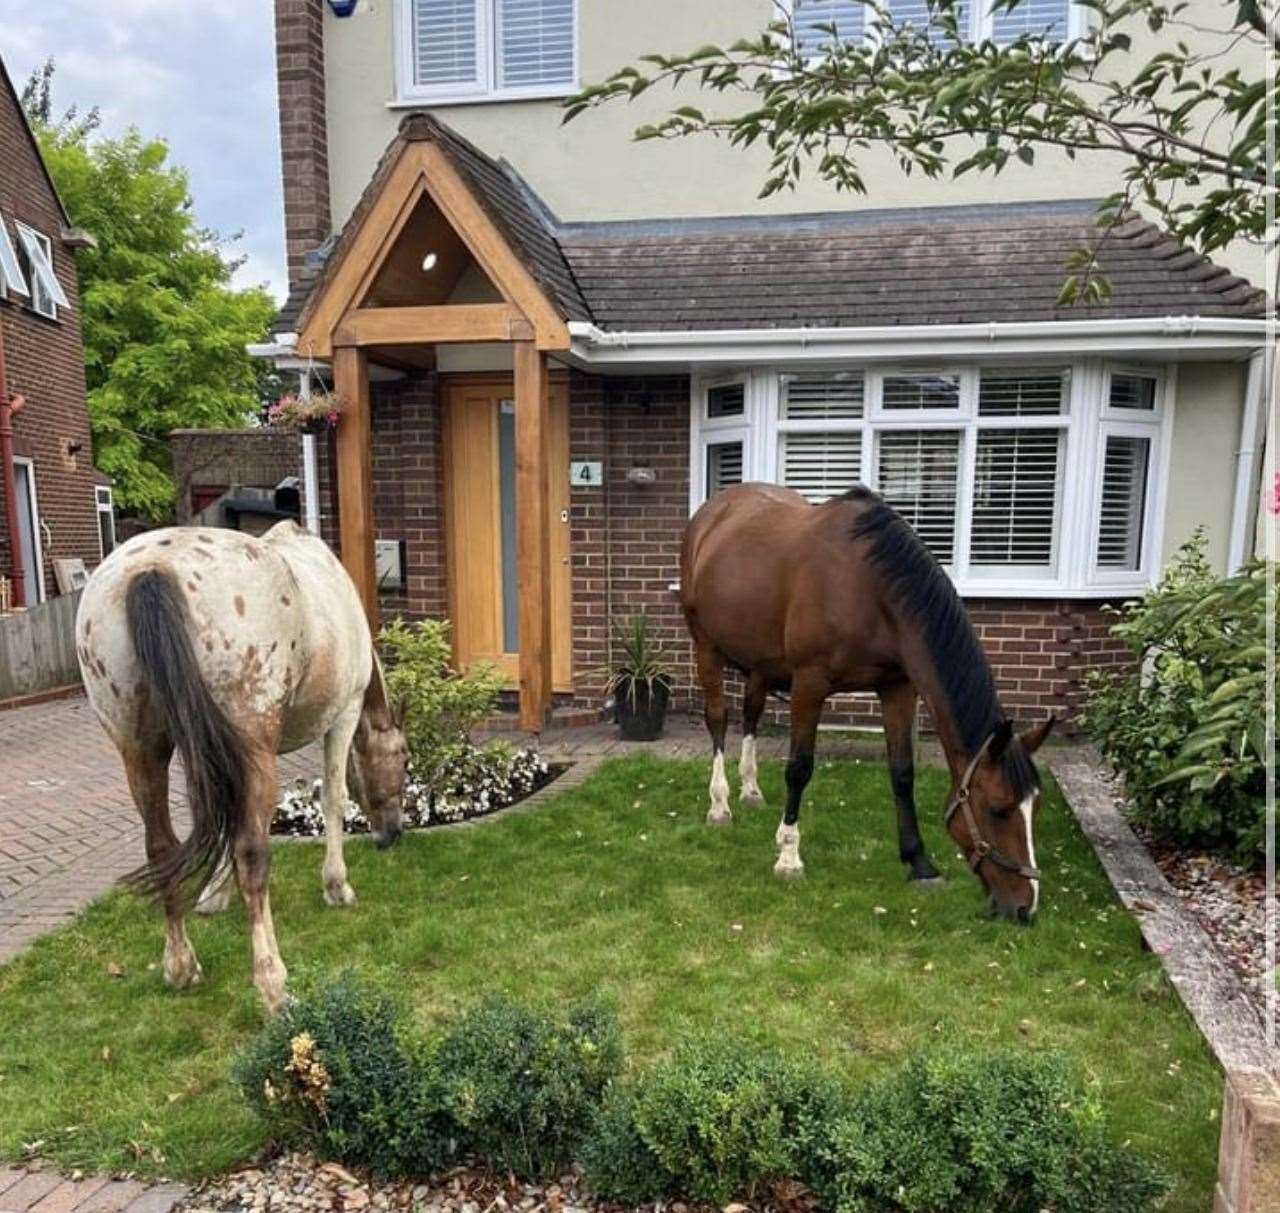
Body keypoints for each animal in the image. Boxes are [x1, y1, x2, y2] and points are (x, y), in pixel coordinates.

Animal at [77, 516, 407, 1008]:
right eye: (403, 760)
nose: (393, 833)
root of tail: (152, 570)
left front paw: (213, 896)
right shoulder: (342, 715)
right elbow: (332, 799)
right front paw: (336, 885)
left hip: (140, 751)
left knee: (161, 846)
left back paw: (181, 966)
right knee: (252, 853)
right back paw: (273, 984)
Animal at [680, 481, 1049, 921]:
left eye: (1035, 808)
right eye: (998, 809)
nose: (1025, 909)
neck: (869, 588)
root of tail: (711, 515)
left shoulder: (898, 688)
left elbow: (902, 773)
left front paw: (919, 862)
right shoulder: (809, 683)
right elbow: (799, 768)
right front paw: (788, 856)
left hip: (760, 662)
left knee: (751, 716)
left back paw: (750, 791)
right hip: (706, 646)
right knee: (718, 718)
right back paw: (719, 805)